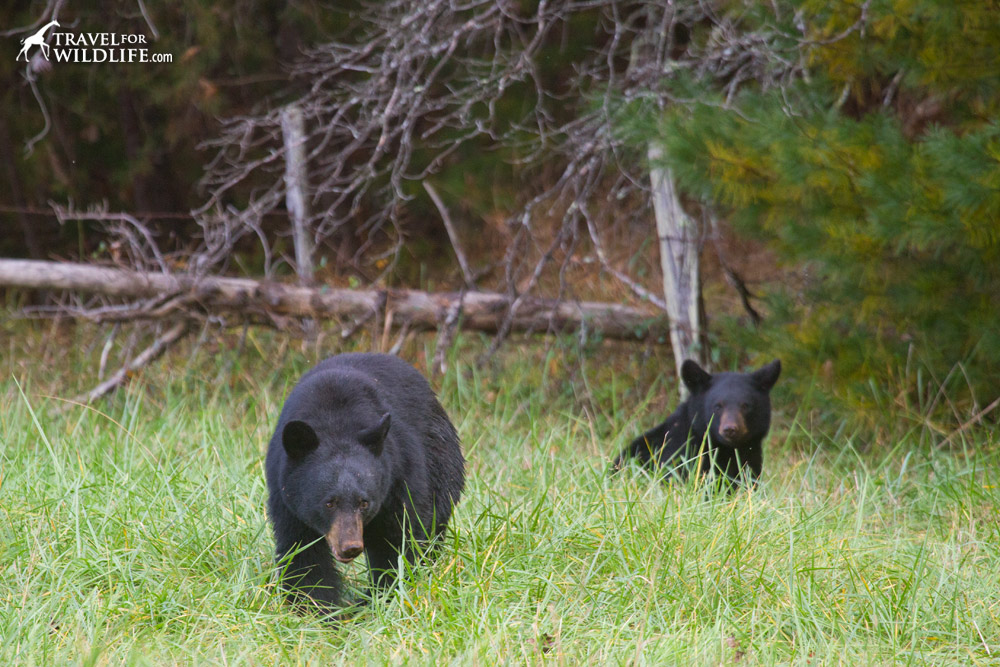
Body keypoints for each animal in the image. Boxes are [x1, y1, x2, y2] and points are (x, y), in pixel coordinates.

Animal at [266, 354, 468, 616]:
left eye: (364, 502)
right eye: (329, 503)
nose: (350, 547)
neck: (335, 423)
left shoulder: (398, 479)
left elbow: (397, 541)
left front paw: (384, 599)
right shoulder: (287, 497)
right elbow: (303, 553)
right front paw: (316, 610)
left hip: (441, 466)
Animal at [608, 360, 780, 490]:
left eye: (746, 405)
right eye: (718, 406)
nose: (730, 429)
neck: (724, 448)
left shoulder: (751, 457)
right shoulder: (681, 456)